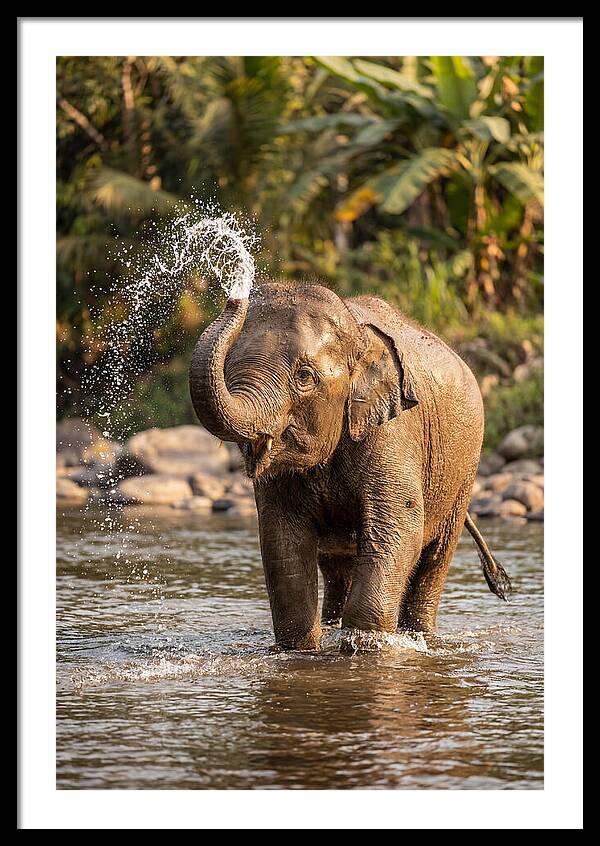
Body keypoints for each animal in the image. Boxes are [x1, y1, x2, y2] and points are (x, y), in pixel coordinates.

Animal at [189, 281, 510, 650]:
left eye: (305, 377)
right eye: (228, 369)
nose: (235, 294)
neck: (357, 333)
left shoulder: (393, 432)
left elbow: (398, 528)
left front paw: (364, 645)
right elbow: (282, 540)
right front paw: (303, 648)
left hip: (463, 471)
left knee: (435, 556)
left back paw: (420, 636)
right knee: (336, 565)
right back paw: (333, 625)